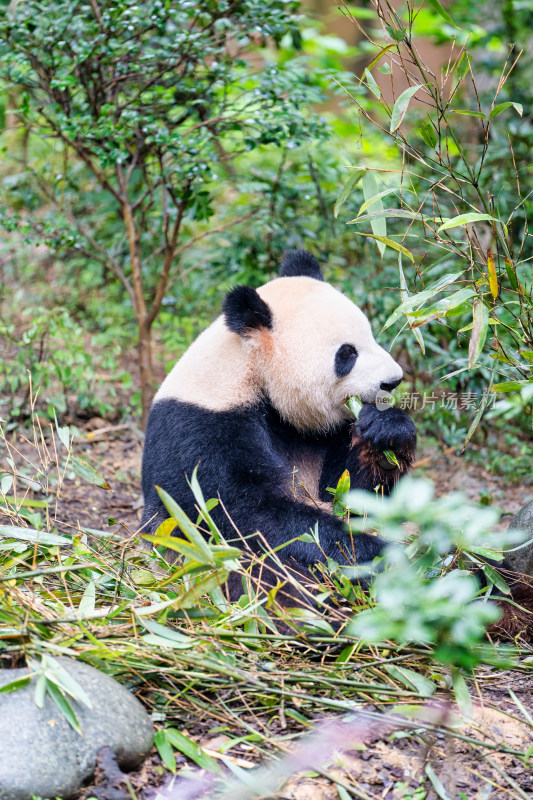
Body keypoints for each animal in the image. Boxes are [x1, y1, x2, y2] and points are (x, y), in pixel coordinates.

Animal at [140, 252, 416, 588]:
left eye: (372, 336)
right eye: (347, 354)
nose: (393, 381)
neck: (251, 369)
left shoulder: (327, 431)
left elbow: (349, 492)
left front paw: (387, 429)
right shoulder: (201, 427)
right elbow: (245, 515)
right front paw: (375, 555)